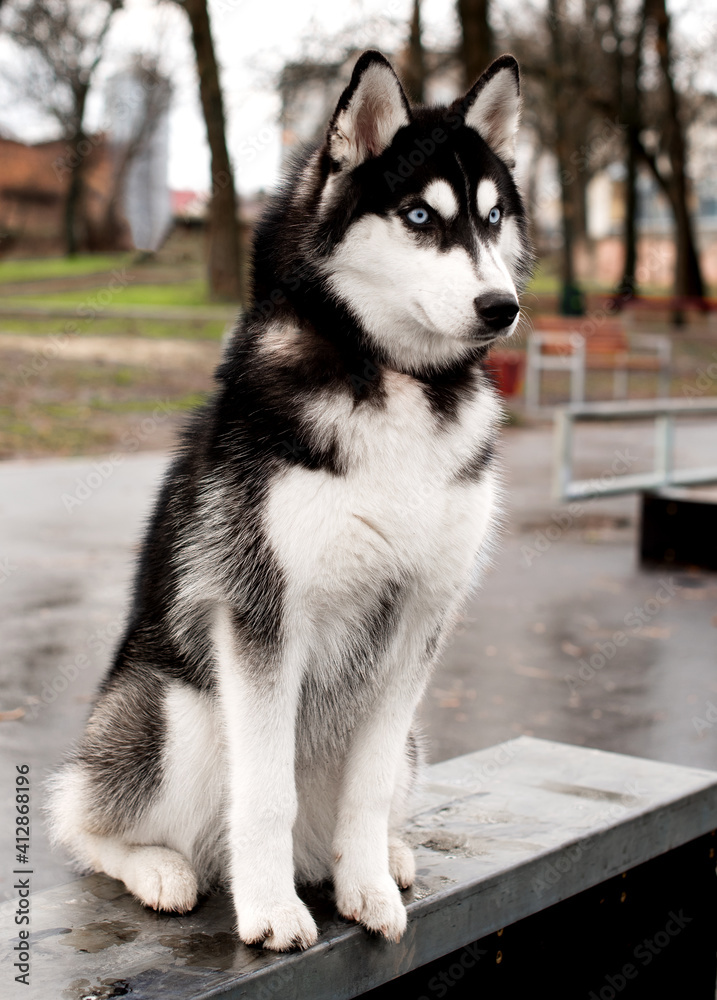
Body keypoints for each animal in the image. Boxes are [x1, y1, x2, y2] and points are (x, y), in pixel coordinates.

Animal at [49, 50, 532, 948]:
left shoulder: (421, 618)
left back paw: (382, 856)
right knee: (84, 817)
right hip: (175, 709)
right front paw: (271, 910)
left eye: (491, 218)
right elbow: (265, 790)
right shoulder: (264, 614)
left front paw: (366, 884)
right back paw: (159, 868)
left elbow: (366, 789)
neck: (394, 382)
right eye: (419, 215)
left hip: (409, 743)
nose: (501, 307)